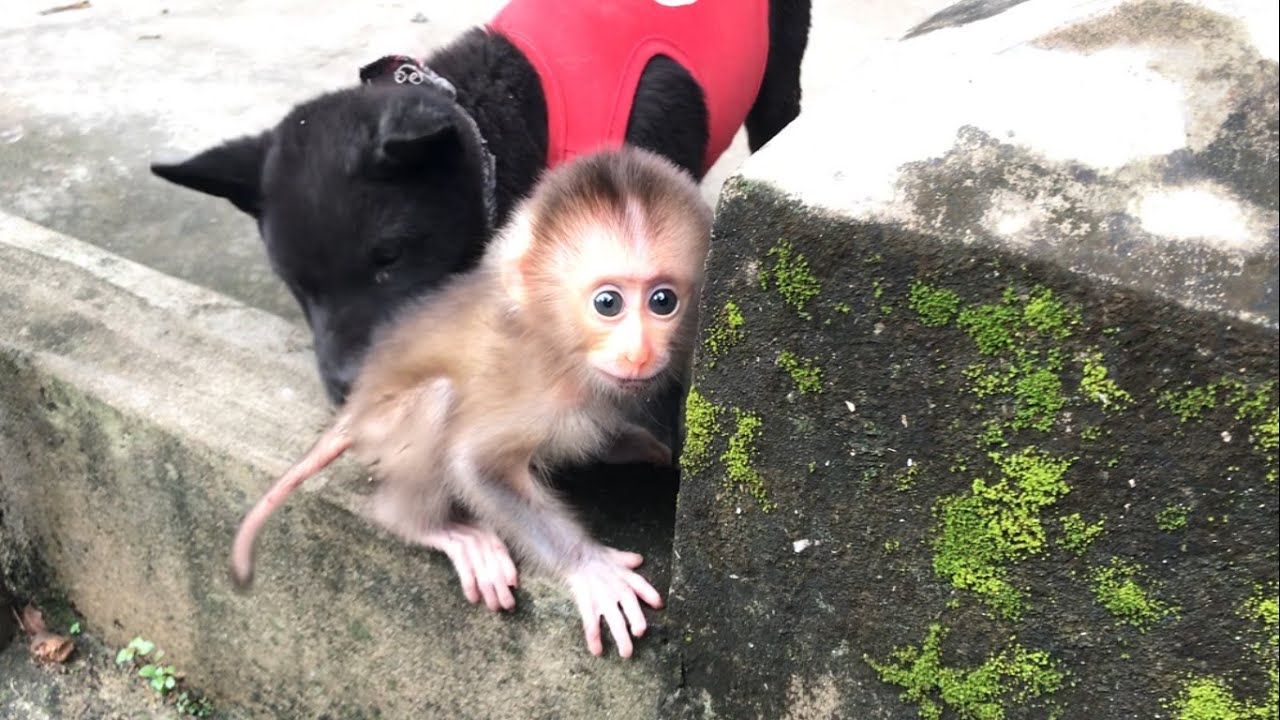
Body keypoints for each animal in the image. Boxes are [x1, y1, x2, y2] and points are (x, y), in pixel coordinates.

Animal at [230, 147, 712, 658]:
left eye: (663, 301)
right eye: (607, 303)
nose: (639, 352)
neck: (559, 346)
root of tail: (355, 408)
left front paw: (642, 446)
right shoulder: (538, 392)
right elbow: (475, 463)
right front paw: (591, 567)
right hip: (384, 426)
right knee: (439, 403)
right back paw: (433, 527)